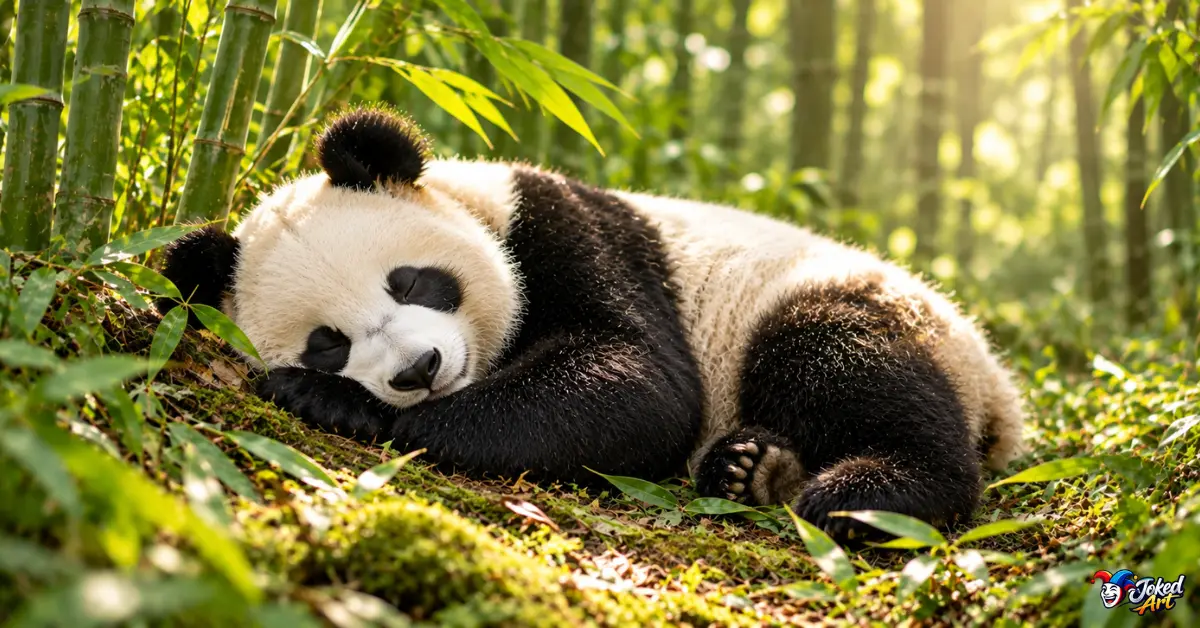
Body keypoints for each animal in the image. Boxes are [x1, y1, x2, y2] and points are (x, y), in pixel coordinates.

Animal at [160, 107, 1025, 539]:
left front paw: (366, 412)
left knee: (838, 357)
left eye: (412, 282)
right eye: (327, 342)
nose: (418, 370)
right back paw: (750, 469)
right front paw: (323, 394)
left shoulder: (562, 226)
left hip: (856, 304)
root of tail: (999, 393)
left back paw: (865, 492)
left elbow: (639, 382)